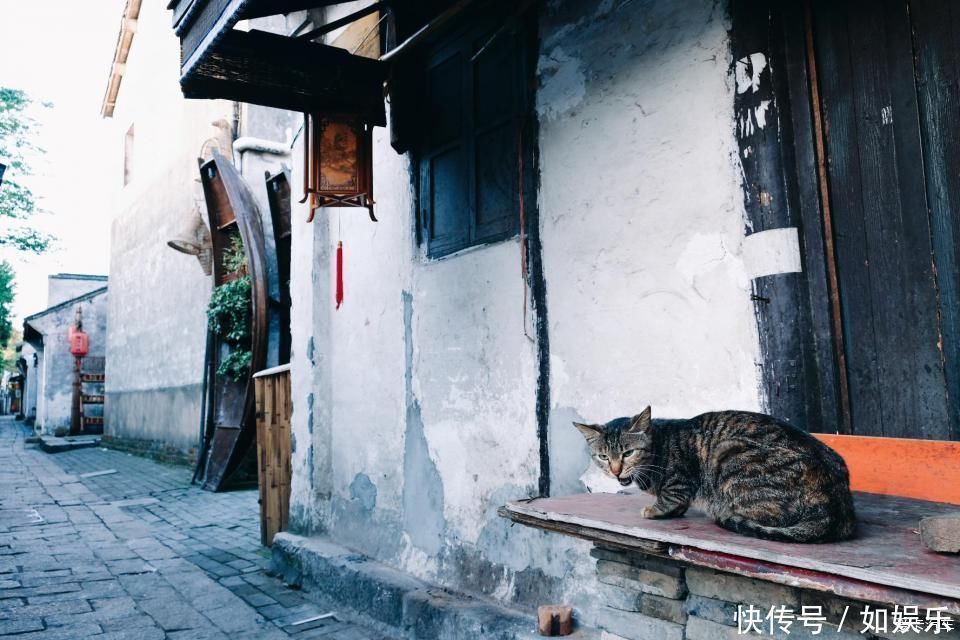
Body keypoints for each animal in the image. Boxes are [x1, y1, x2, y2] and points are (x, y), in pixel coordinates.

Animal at [572, 408, 860, 544]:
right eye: (603, 457)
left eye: (629, 452)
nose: (615, 470)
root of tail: (836, 505)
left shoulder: (680, 479)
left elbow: (670, 497)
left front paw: (654, 510)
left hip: (729, 452)